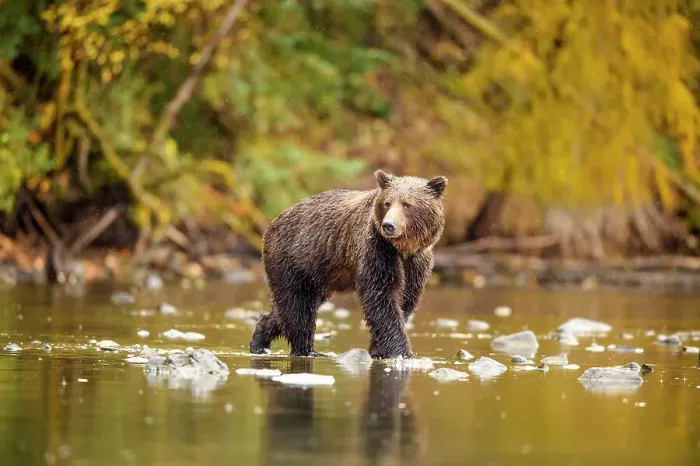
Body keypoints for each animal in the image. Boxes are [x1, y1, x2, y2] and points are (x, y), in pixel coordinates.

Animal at [249, 169, 448, 359]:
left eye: (407, 204)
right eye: (387, 203)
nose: (388, 225)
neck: (402, 248)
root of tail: (272, 223)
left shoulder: (416, 262)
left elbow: (405, 298)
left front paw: (379, 349)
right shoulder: (377, 250)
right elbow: (382, 298)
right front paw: (403, 352)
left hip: (317, 275)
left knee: (290, 308)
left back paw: (260, 339)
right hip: (292, 259)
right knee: (297, 306)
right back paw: (307, 350)